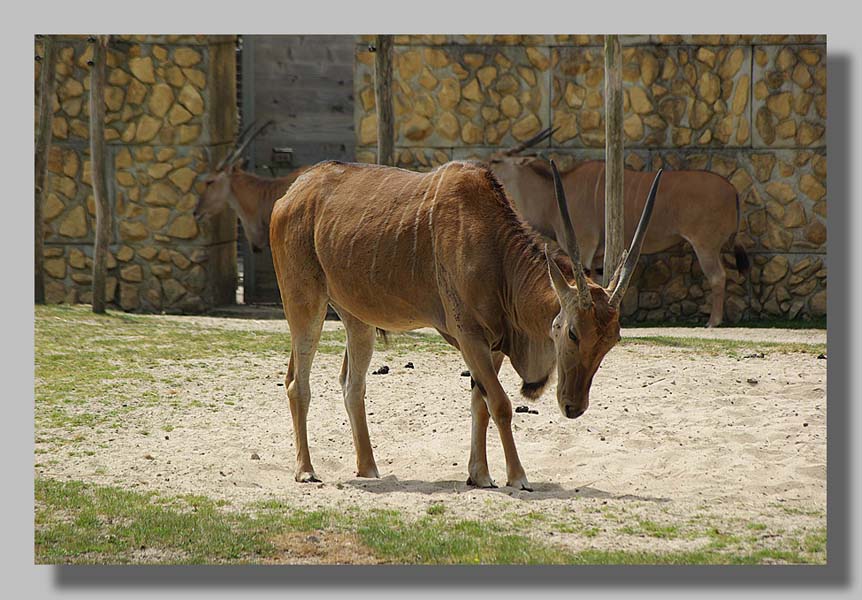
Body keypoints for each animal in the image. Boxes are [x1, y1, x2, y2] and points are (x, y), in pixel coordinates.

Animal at [270, 157, 660, 490]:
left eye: (612, 341)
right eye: (573, 332)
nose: (573, 407)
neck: (496, 249)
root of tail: (290, 195)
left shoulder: (493, 346)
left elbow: (480, 404)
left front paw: (480, 475)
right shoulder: (470, 337)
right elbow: (500, 404)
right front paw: (518, 477)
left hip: (358, 321)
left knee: (352, 385)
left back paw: (368, 468)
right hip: (306, 306)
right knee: (297, 384)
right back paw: (306, 470)